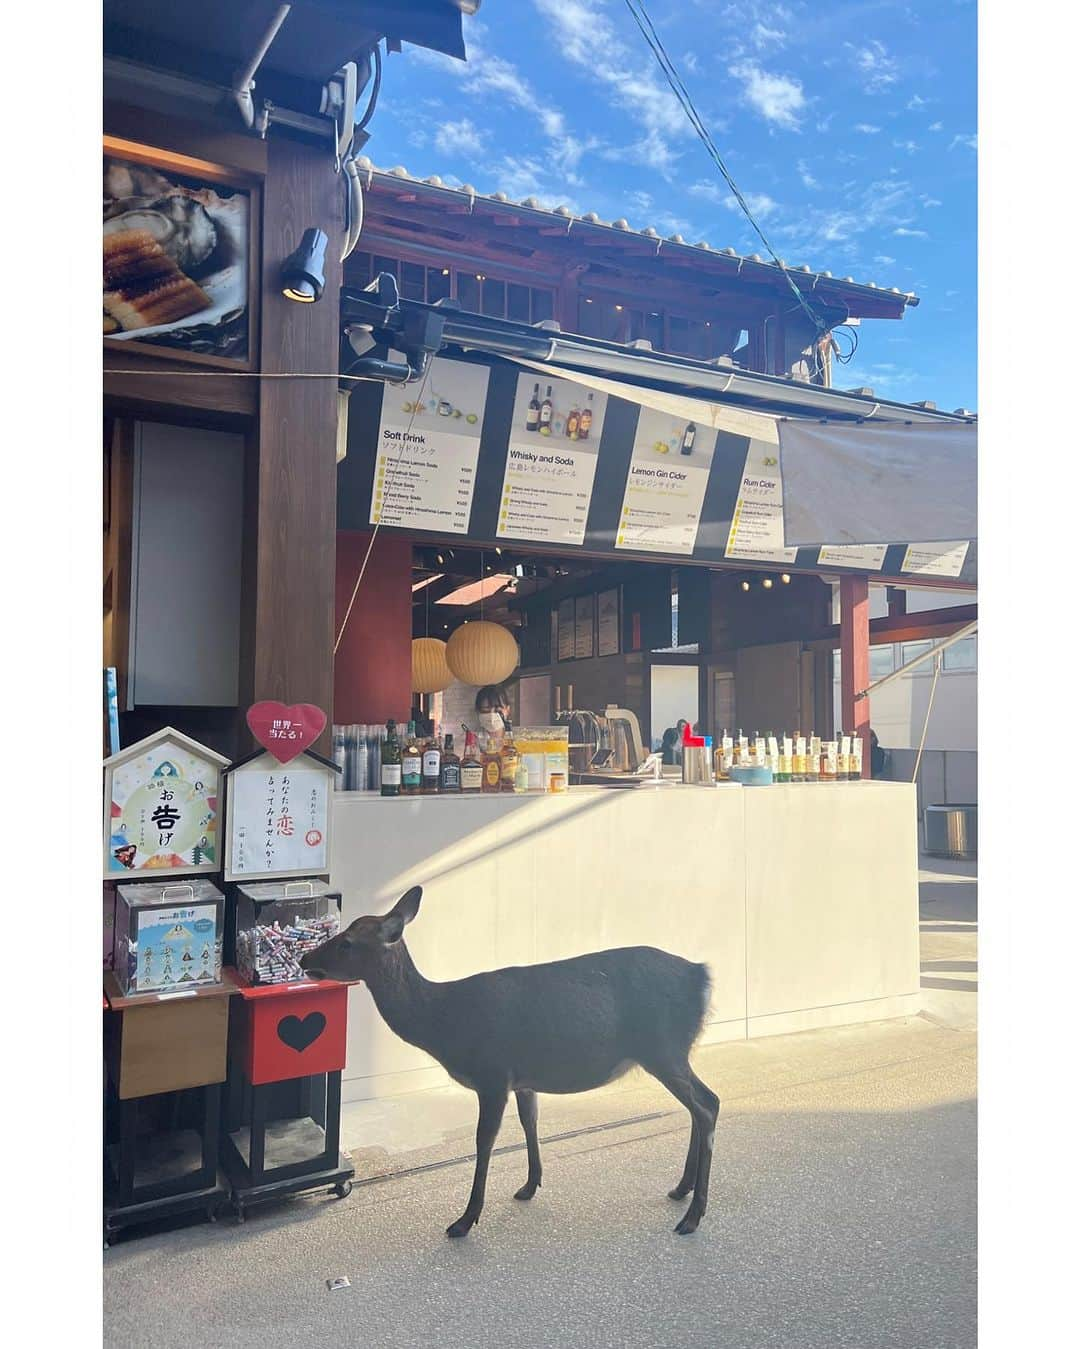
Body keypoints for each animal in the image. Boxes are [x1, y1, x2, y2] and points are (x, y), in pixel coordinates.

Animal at [299, 884, 722, 1241]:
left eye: (347, 942)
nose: (304, 957)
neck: (444, 1023)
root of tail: (701, 977)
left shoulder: (492, 1072)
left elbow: (484, 1139)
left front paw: (465, 1220)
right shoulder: (522, 1077)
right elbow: (529, 1121)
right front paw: (530, 1185)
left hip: (663, 1047)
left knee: (708, 1104)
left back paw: (693, 1215)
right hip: (673, 1051)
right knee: (699, 1106)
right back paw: (681, 1189)